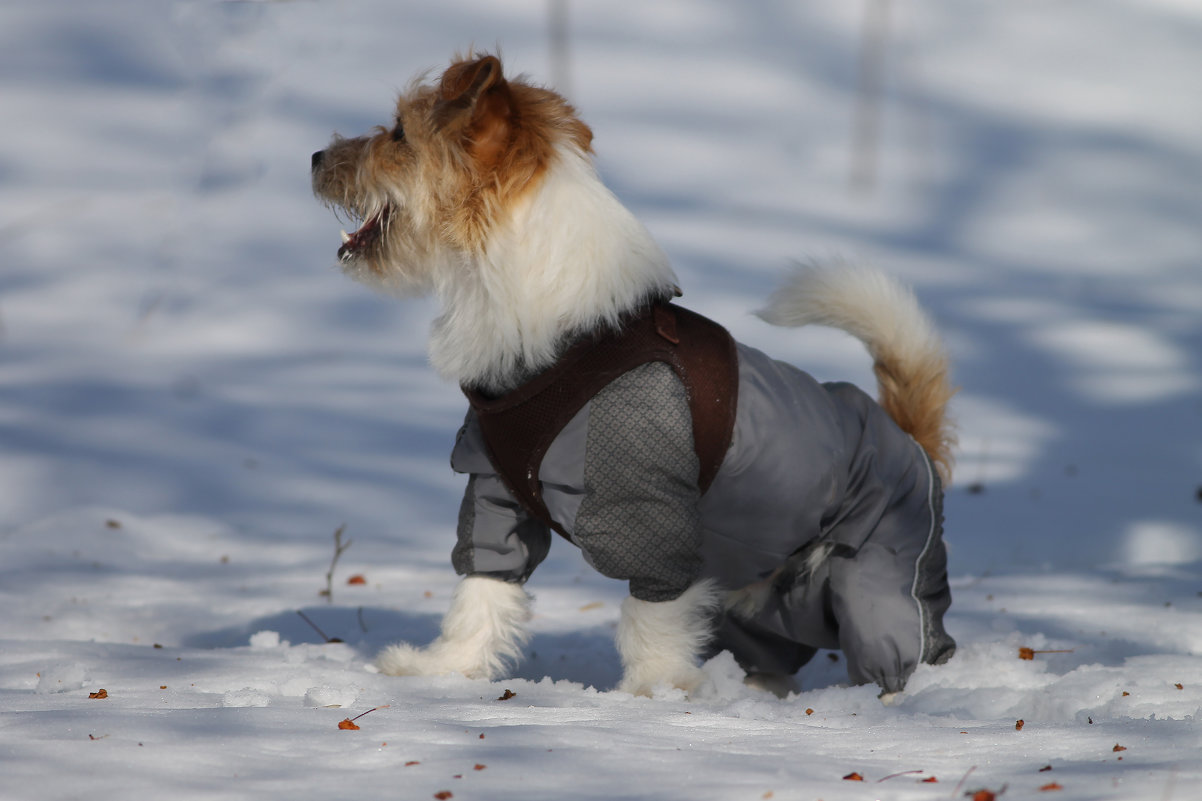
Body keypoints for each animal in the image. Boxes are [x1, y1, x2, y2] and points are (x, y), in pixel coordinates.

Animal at [312, 52, 956, 697]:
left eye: (399, 133)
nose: (315, 157)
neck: (566, 339)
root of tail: (908, 437)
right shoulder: (494, 490)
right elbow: (482, 590)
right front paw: (442, 671)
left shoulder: (651, 517)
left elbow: (652, 617)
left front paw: (654, 692)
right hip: (768, 601)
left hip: (879, 578)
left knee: (907, 645)